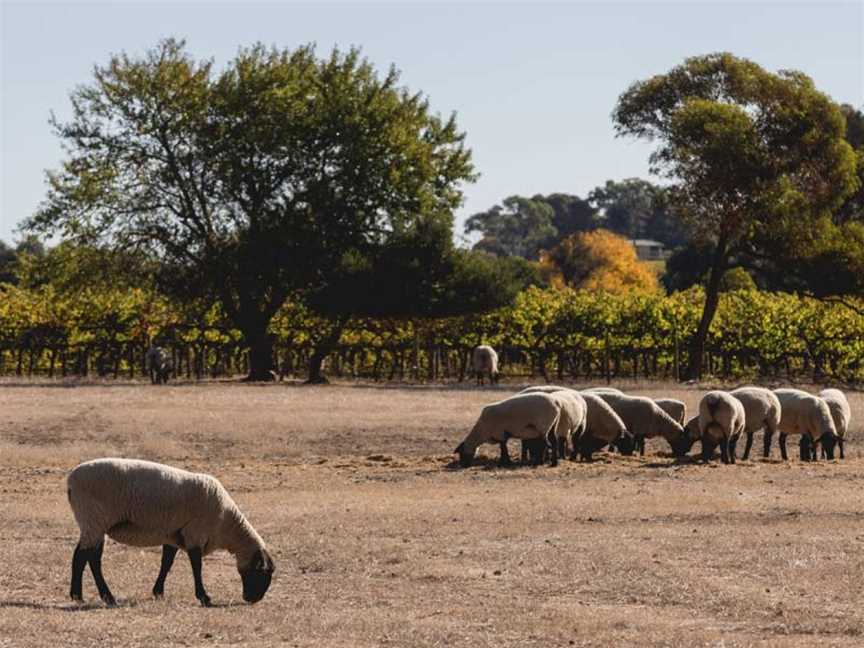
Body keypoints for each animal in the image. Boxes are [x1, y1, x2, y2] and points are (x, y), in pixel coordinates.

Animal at [67, 458, 274, 604]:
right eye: (263, 573)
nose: (253, 599)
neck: (226, 523)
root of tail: (70, 480)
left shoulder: (173, 535)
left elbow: (166, 563)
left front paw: (158, 592)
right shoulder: (195, 534)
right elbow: (197, 566)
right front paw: (204, 597)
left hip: (93, 523)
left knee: (85, 557)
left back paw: (83, 595)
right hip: (94, 519)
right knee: (87, 558)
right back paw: (100, 597)